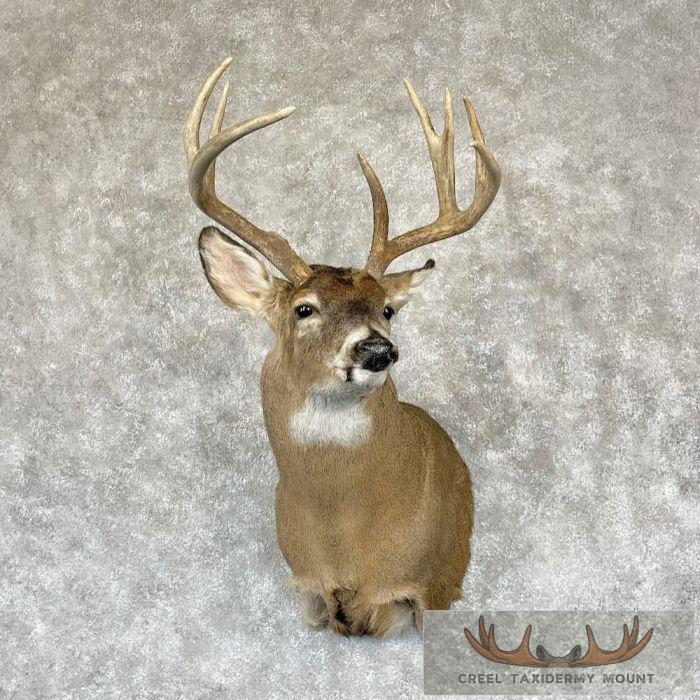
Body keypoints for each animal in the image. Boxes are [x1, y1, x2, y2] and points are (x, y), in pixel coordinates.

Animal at [184, 57, 501, 637]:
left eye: (387, 309)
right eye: (303, 309)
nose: (377, 350)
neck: (346, 544)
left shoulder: (433, 586)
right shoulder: (305, 584)